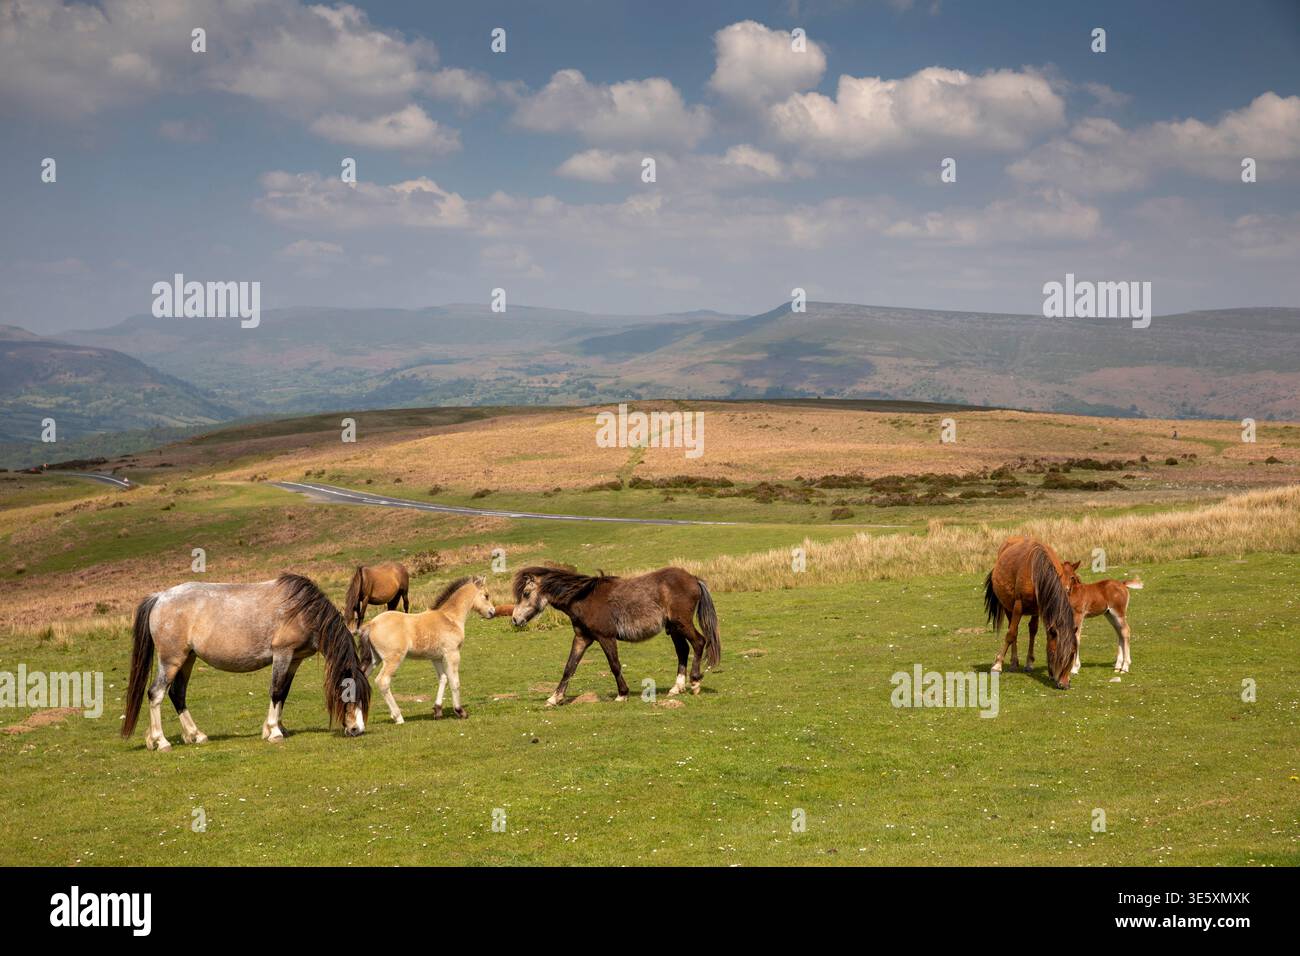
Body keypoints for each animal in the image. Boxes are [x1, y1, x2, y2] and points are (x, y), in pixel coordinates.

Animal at [122, 573, 371, 749]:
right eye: (350, 694)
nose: (357, 729)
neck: (302, 610)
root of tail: (160, 597)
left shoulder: (294, 659)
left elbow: (284, 692)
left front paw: (278, 728)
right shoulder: (282, 654)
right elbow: (276, 691)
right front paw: (274, 732)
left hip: (188, 659)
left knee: (177, 694)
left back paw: (196, 735)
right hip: (171, 660)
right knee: (156, 694)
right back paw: (161, 741)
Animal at [358, 576, 496, 723]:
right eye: (486, 595)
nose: (492, 612)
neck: (449, 618)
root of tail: (371, 624)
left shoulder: (436, 658)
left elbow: (443, 678)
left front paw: (438, 710)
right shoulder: (452, 654)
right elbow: (454, 681)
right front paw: (460, 711)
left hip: (374, 659)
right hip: (393, 659)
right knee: (382, 681)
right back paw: (398, 717)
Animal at [510, 566, 721, 705]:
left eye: (526, 593)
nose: (515, 619)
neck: (584, 598)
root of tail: (693, 578)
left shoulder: (606, 637)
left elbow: (614, 665)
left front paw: (622, 694)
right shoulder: (582, 639)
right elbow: (569, 667)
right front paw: (555, 697)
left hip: (682, 623)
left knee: (699, 642)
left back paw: (695, 682)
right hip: (674, 628)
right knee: (683, 650)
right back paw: (677, 688)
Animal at [982, 537, 1079, 688]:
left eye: (1073, 653)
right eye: (1057, 653)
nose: (1064, 684)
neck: (1037, 571)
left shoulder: (1041, 607)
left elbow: (1041, 634)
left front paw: (1048, 671)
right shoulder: (1018, 605)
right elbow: (1011, 634)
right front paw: (997, 665)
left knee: (1032, 630)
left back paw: (1028, 662)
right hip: (1008, 606)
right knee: (1012, 630)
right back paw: (1013, 662)